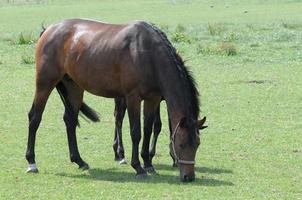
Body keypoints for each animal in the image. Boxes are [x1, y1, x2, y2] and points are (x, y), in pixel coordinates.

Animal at [25, 18, 205, 181]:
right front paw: (138, 167)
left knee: (70, 121)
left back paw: (79, 161)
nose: (188, 177)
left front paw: (148, 163)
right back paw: (32, 162)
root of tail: (49, 30)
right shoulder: (133, 97)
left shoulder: (152, 99)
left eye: (197, 144)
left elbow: (148, 129)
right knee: (35, 118)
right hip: (45, 83)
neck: (147, 53)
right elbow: (136, 132)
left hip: (74, 87)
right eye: (181, 144)